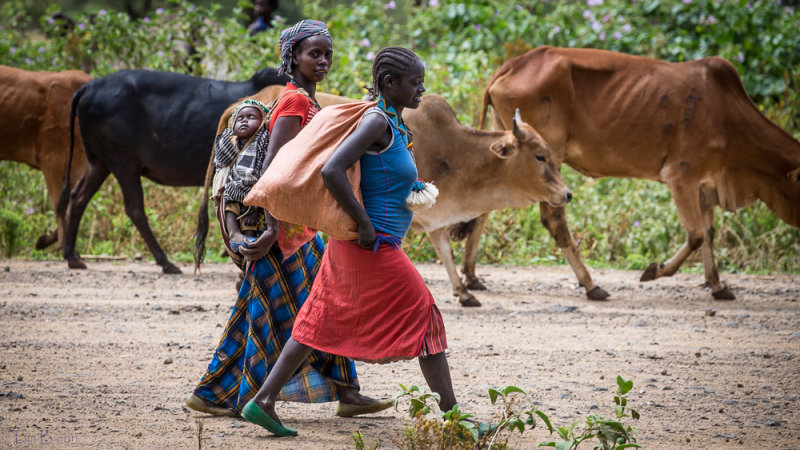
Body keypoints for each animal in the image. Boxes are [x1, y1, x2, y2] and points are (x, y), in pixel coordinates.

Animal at [62, 66, 290, 270]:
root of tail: (90, 86)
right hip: (123, 163)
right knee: (134, 209)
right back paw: (165, 262)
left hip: (99, 162)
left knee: (78, 198)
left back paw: (72, 256)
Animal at [195, 89, 572, 306]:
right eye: (540, 156)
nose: (566, 193)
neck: (453, 151)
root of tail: (237, 104)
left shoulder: (435, 214)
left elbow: (445, 250)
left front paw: (463, 292)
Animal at [476, 46, 800, 298]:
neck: (729, 117)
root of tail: (514, 63)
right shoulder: (681, 176)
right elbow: (695, 235)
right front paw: (655, 270)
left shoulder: (706, 184)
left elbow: (708, 234)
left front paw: (718, 286)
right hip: (548, 154)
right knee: (555, 221)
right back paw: (591, 285)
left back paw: (471, 279)